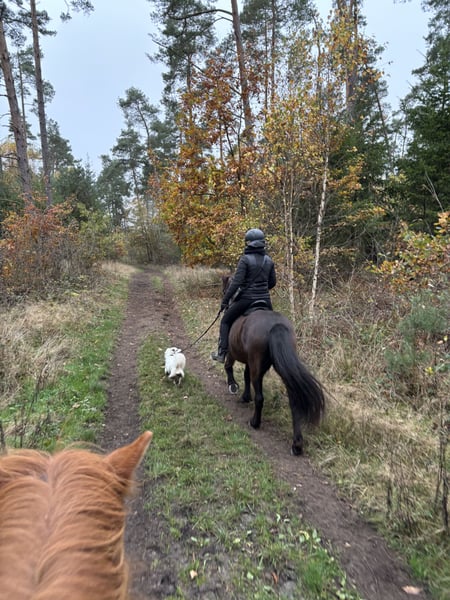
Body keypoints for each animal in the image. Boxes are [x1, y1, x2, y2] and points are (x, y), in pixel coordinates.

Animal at [221, 277, 325, 455]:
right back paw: (297, 445)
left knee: (260, 397)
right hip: (284, 370)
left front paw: (233, 386)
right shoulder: (250, 361)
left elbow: (229, 367)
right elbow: (246, 376)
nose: (223, 304)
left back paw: (255, 422)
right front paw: (245, 396)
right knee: (294, 403)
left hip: (258, 366)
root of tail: (276, 325)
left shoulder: (232, 353)